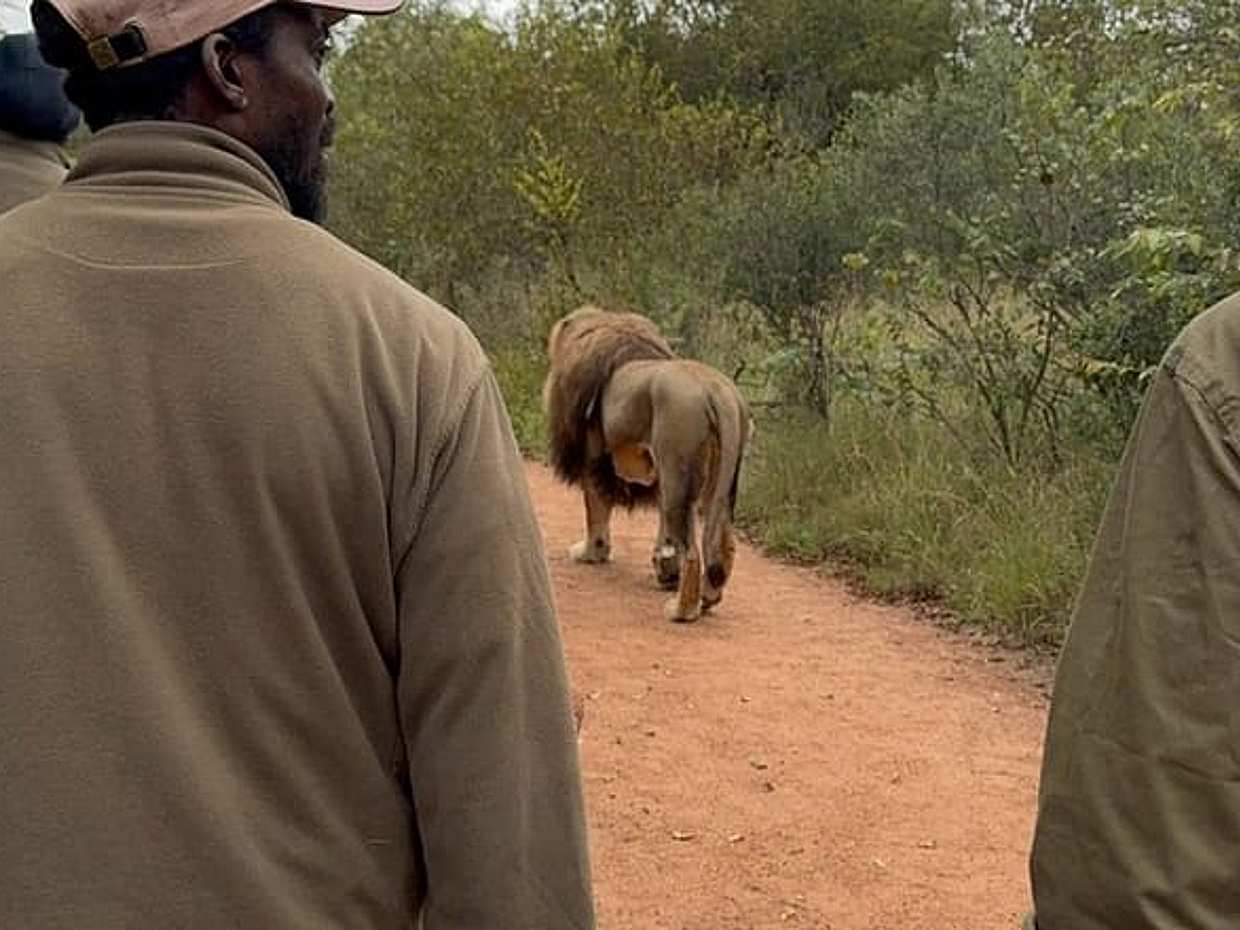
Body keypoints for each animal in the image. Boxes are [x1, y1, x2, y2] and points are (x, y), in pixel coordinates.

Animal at [543, 305, 751, 622]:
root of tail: (717, 391)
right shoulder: (657, 470)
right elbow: (662, 533)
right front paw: (665, 571)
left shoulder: (594, 455)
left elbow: (596, 509)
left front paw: (590, 553)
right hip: (720, 478)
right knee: (722, 541)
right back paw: (708, 598)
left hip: (677, 470)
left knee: (692, 552)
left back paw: (680, 611)